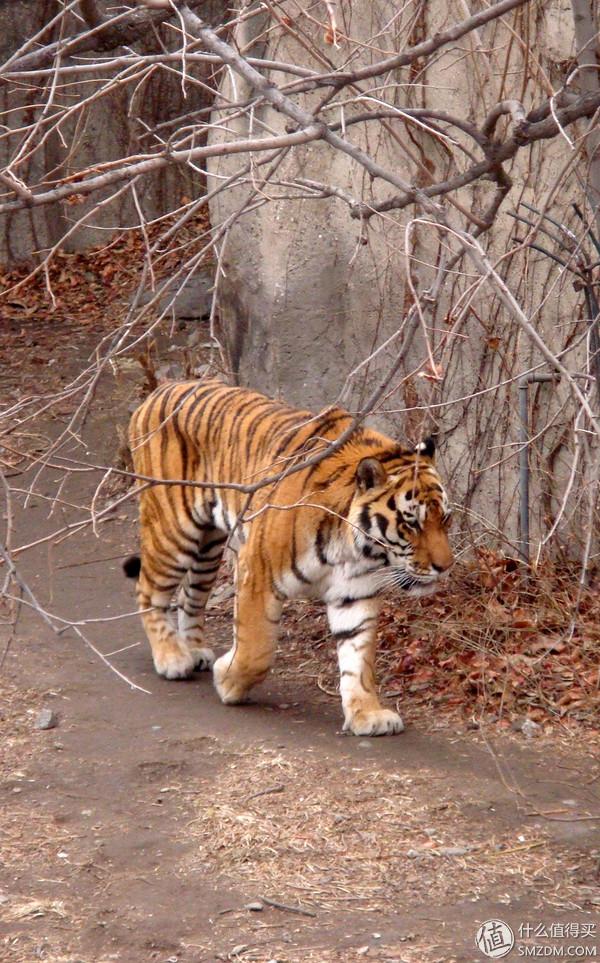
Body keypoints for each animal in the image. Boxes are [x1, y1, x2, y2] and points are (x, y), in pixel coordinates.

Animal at [127, 378, 454, 740]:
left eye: (446, 519)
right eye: (412, 523)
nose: (445, 566)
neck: (355, 549)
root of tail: (163, 388)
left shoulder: (355, 593)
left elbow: (358, 659)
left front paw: (367, 714)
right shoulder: (256, 571)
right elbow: (256, 649)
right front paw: (228, 681)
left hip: (208, 546)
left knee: (191, 596)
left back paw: (194, 650)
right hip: (174, 531)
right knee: (148, 591)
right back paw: (172, 658)